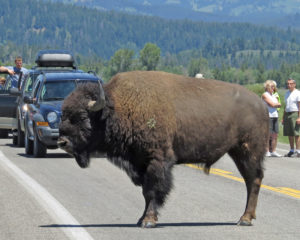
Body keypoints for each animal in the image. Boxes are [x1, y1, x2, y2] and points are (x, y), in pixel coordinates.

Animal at [57, 70, 268, 228]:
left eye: (82, 117)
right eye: (63, 114)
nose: (62, 142)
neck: (119, 106)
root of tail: (261, 105)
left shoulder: (157, 160)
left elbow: (153, 190)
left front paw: (149, 221)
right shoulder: (140, 163)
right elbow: (145, 192)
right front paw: (141, 219)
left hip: (248, 151)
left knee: (253, 180)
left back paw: (245, 219)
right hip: (238, 152)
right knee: (251, 181)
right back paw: (245, 218)